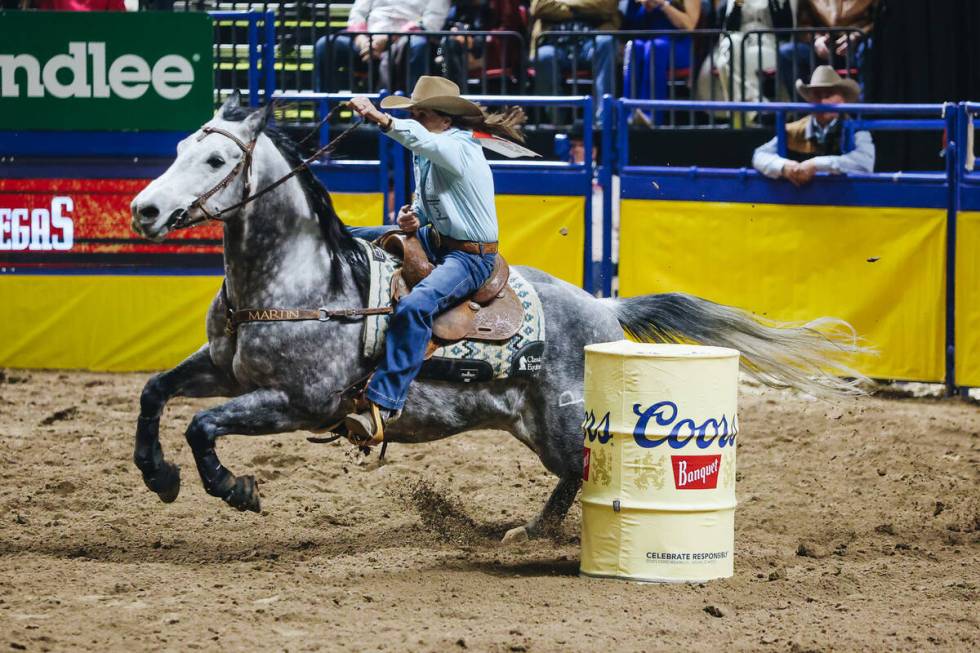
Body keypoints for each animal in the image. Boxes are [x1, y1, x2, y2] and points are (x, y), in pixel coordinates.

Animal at [130, 93, 864, 540]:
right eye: (178, 148)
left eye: (217, 159)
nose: (143, 209)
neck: (306, 277)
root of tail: (604, 305)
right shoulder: (223, 368)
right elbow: (156, 392)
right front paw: (158, 475)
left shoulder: (301, 401)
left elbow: (201, 425)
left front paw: (235, 488)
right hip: (537, 428)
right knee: (572, 476)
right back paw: (532, 532)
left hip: (564, 426)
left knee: (591, 467)